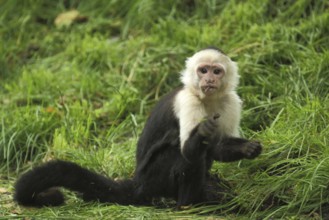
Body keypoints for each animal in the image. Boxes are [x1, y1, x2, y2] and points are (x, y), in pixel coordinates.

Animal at [13, 46, 262, 208]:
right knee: (182, 155)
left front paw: (247, 149)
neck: (207, 99)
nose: (209, 80)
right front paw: (203, 129)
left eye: (216, 71)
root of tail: (138, 183)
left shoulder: (231, 101)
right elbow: (188, 151)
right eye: (203, 70)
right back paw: (189, 204)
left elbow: (218, 147)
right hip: (154, 179)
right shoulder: (187, 101)